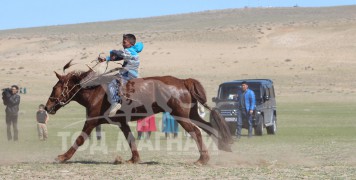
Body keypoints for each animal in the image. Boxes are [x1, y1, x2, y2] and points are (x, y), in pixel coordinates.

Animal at [44, 64, 232, 165]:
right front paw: (133, 159)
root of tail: (183, 82)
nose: (47, 107)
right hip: (192, 114)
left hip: (181, 116)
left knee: (196, 132)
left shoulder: (91, 121)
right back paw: (222, 147)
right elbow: (131, 139)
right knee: (208, 127)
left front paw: (62, 157)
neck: (95, 92)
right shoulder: (122, 123)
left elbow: (79, 139)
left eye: (54, 88)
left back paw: (202, 159)